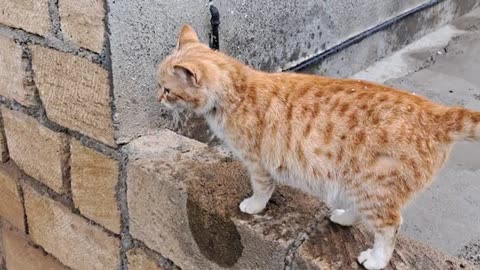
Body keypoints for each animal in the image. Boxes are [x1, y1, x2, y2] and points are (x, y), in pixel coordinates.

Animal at [156, 24, 478, 268]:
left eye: (168, 89)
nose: (158, 97)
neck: (235, 91)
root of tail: (436, 112)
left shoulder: (257, 163)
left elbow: (261, 189)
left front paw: (254, 206)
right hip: (357, 183)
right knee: (360, 210)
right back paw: (344, 217)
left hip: (376, 188)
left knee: (390, 226)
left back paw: (376, 259)